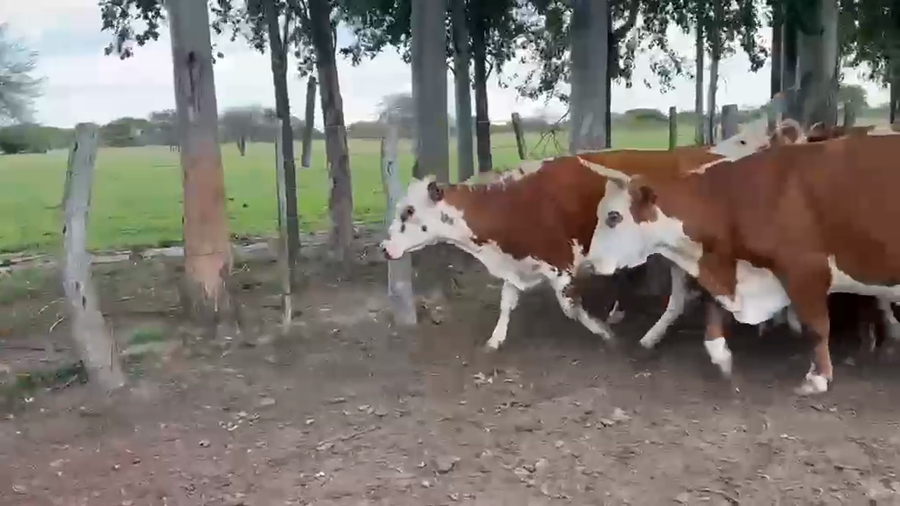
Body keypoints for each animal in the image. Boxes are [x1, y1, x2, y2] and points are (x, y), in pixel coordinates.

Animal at [379, 118, 781, 351]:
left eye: (408, 212)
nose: (384, 247)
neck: (517, 202)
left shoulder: (560, 264)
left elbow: (571, 307)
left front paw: (604, 333)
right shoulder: (517, 260)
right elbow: (507, 301)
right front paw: (495, 340)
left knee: (681, 298)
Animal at [580, 130, 900, 395]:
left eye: (614, 216)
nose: (588, 264)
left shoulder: (805, 270)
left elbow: (818, 326)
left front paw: (818, 377)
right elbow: (712, 324)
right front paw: (722, 359)